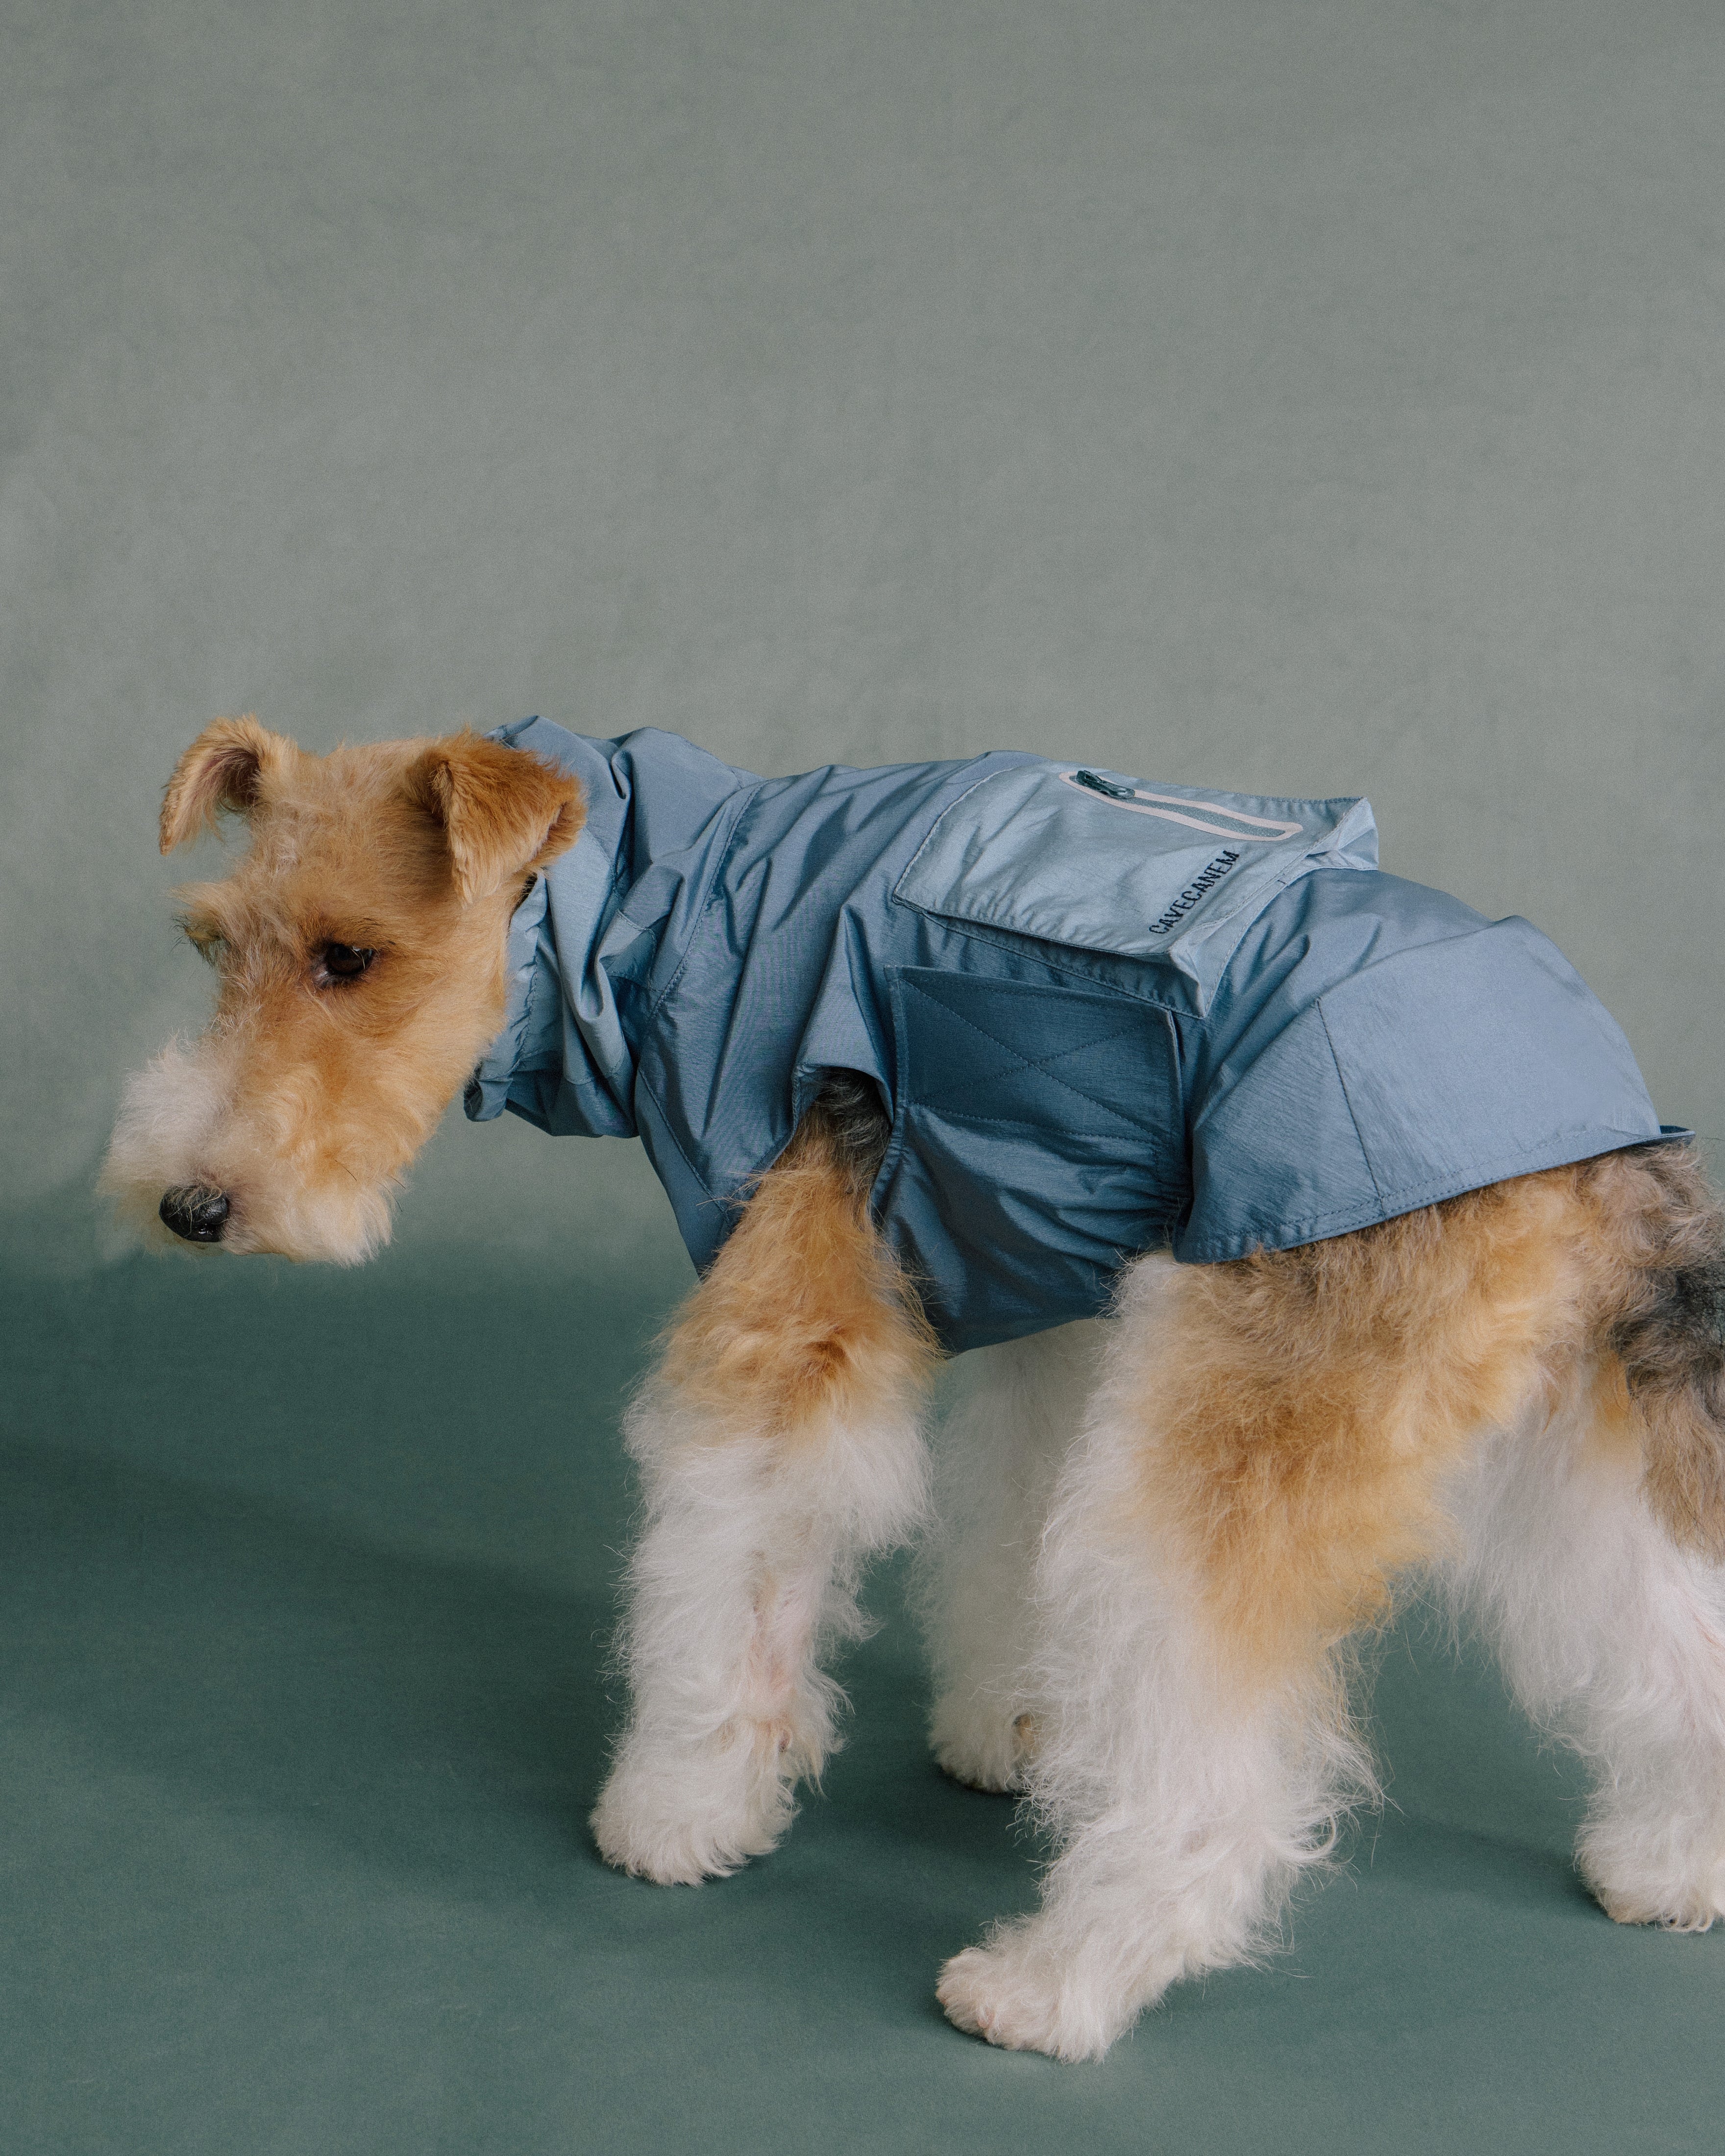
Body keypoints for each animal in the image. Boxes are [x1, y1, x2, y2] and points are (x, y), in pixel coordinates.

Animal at [104, 715, 1725, 2061]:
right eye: (211, 945)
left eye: (348, 956)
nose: (189, 1206)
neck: (663, 905)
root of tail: (1588, 1114)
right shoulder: (1052, 1293)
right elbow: (1005, 1528)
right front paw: (1005, 1728)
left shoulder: (786, 1323)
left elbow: (725, 1590)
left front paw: (677, 1812)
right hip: (1551, 1425)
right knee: (1669, 1629)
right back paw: (1670, 1863)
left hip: (1256, 1426)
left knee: (1214, 1783)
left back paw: (1053, 1984)